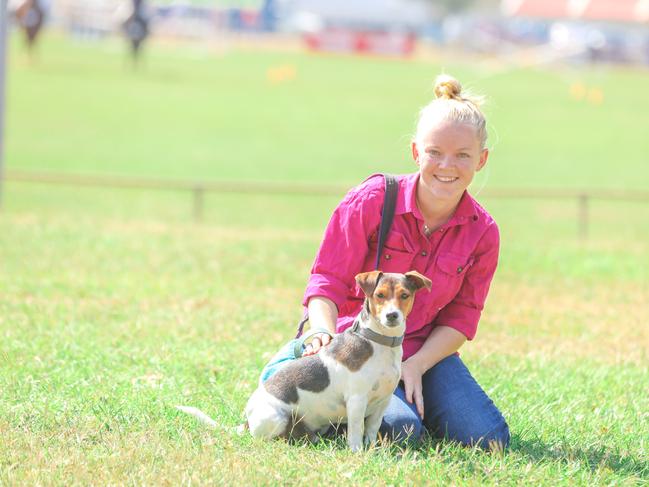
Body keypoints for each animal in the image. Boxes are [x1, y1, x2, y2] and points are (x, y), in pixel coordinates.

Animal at [243, 268, 430, 452]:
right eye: (379, 295)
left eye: (404, 295)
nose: (391, 315)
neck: (380, 343)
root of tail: (246, 420)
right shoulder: (356, 400)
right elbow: (356, 431)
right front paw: (357, 453)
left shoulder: (383, 401)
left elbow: (372, 429)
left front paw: (372, 450)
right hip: (276, 418)